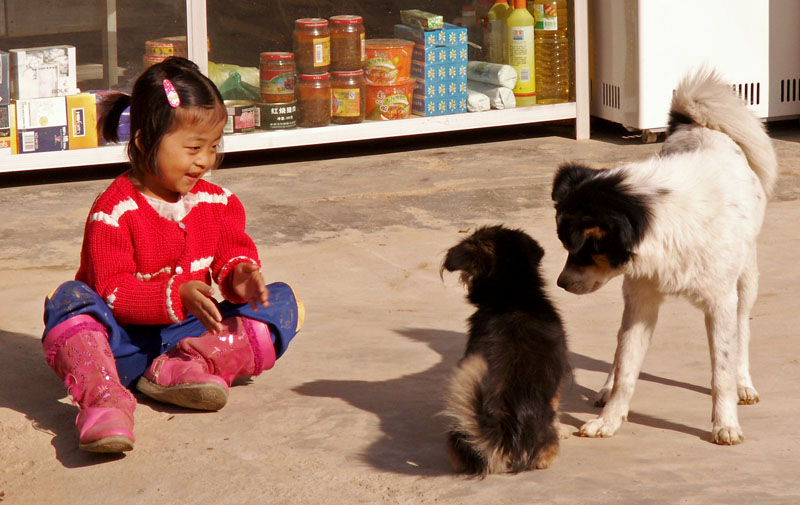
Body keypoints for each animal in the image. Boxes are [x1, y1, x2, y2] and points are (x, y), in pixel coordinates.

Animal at [552, 69, 776, 442]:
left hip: (747, 280)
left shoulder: (720, 303)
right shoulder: (640, 301)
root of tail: (695, 125)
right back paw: (605, 387)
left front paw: (725, 423)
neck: (663, 225)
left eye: (582, 248)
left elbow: (722, 371)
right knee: (618, 349)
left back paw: (744, 383)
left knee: (742, 331)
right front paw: (609, 420)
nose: (561, 283)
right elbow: (627, 369)